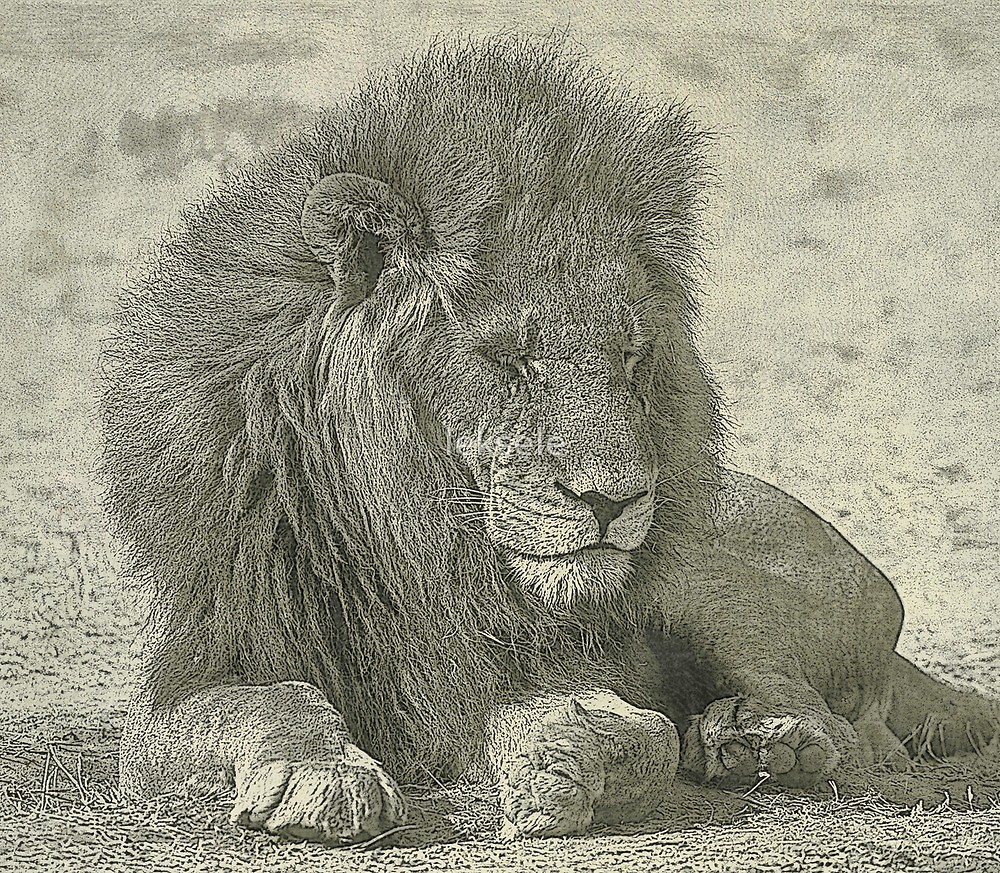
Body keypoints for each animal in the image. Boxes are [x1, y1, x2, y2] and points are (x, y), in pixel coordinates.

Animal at [101, 37, 998, 844]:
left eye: (631, 355)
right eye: (509, 357)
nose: (614, 498)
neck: (418, 543)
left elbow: (634, 728)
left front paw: (562, 756)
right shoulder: (192, 674)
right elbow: (274, 701)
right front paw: (320, 776)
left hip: (712, 574)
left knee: (838, 725)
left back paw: (760, 742)